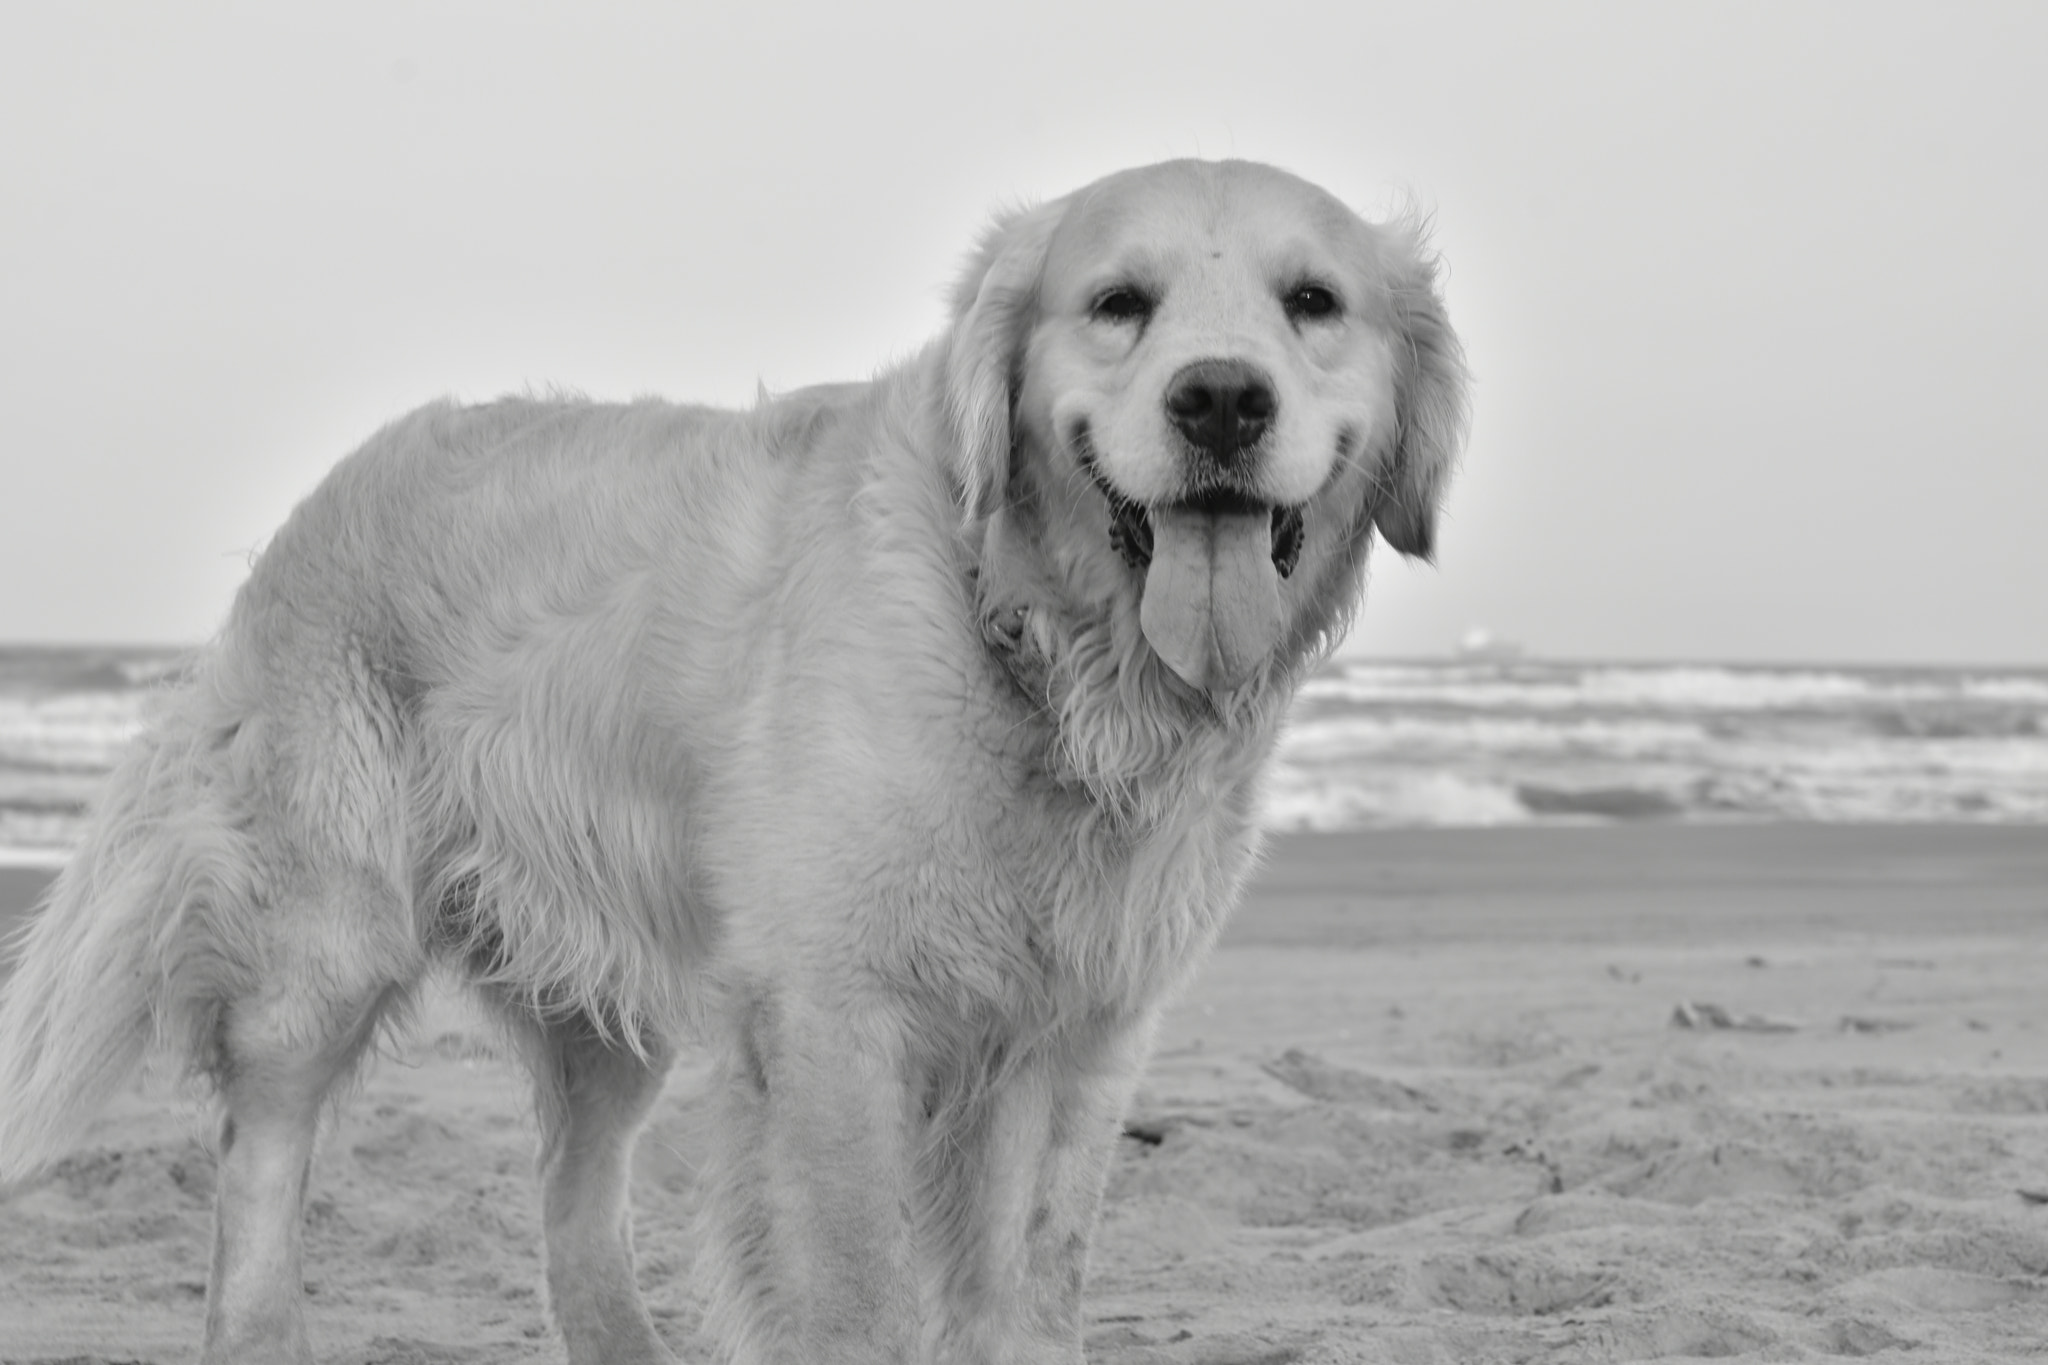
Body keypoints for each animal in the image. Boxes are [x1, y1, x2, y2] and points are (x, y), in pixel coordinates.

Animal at [4, 162, 1474, 1365]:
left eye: (1312, 301)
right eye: (1119, 302)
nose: (1221, 398)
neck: (1039, 650)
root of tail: (319, 497)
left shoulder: (1080, 1035)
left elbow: (1026, 1284)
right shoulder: (836, 1017)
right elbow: (862, 1293)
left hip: (602, 1003)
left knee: (575, 1208)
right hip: (326, 937)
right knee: (262, 1150)